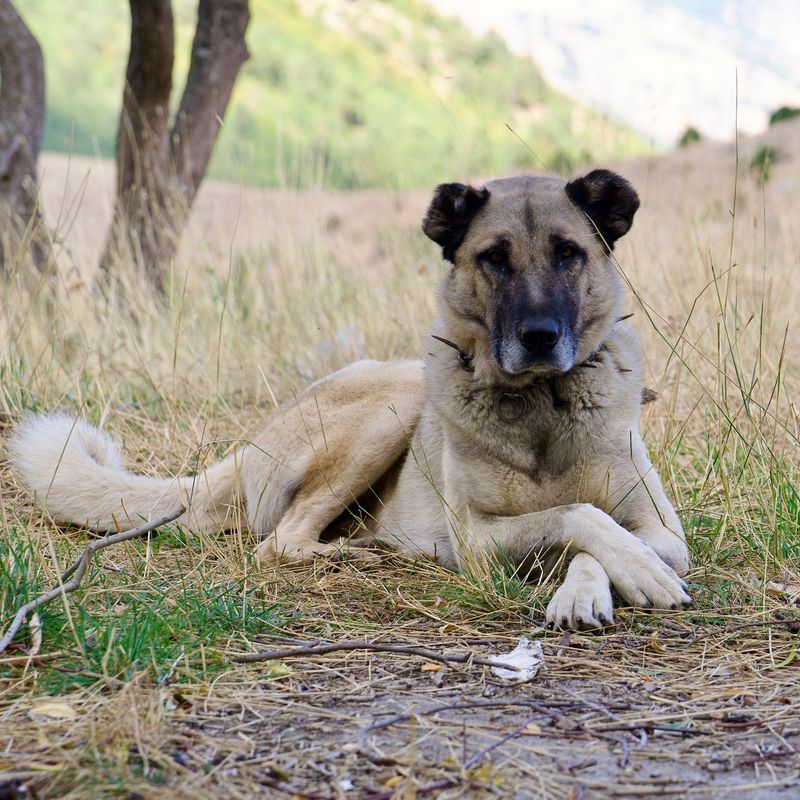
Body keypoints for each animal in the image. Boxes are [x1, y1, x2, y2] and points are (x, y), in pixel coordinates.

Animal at [9, 170, 692, 632]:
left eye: (569, 253)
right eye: (494, 258)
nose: (540, 336)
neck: (544, 406)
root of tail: (246, 449)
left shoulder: (663, 529)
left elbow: (602, 530)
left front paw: (595, 586)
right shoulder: (477, 539)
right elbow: (579, 516)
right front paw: (623, 574)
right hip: (390, 406)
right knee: (281, 542)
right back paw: (364, 551)